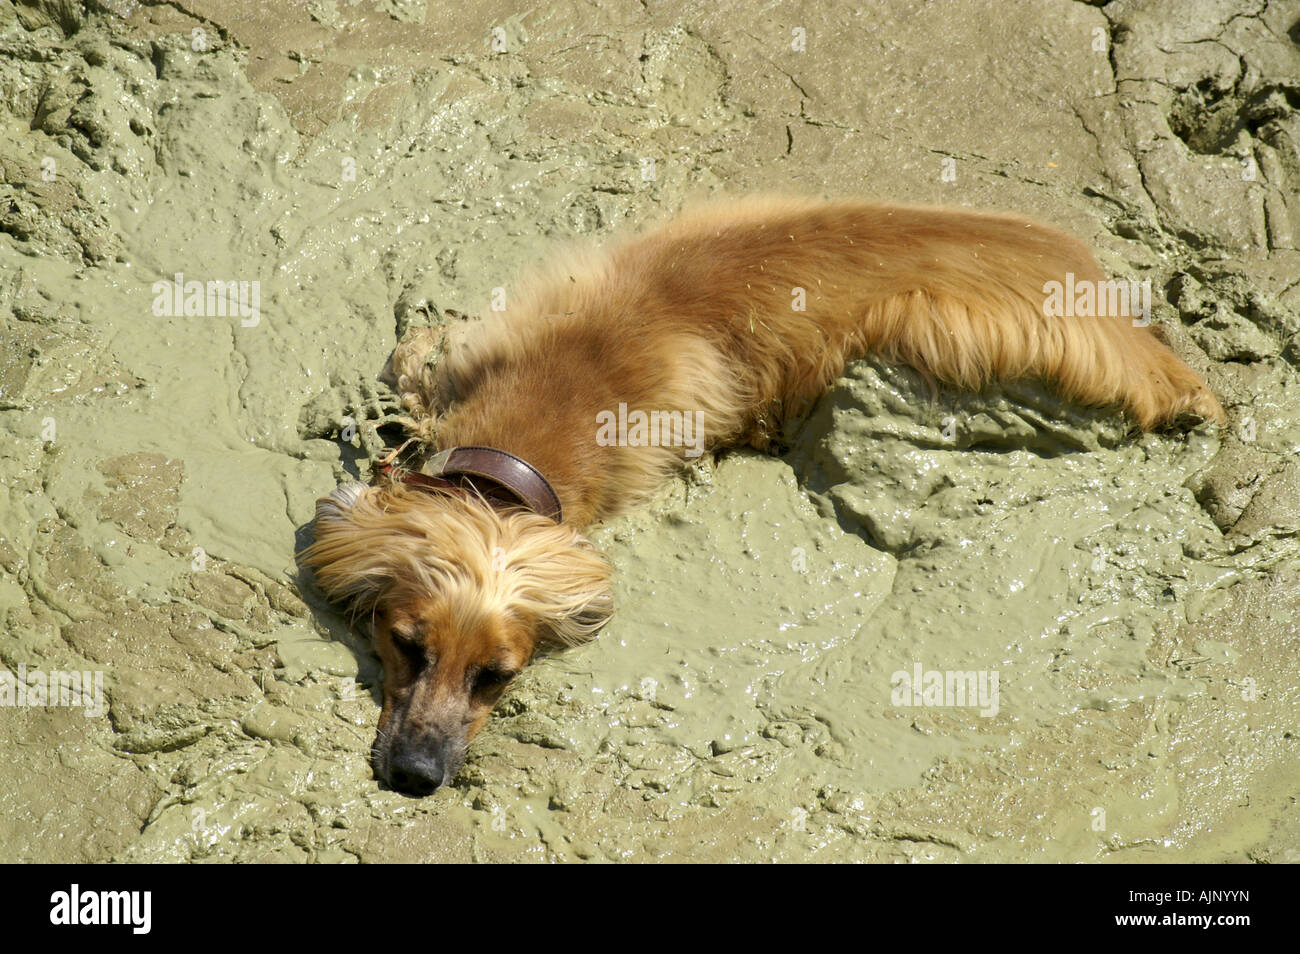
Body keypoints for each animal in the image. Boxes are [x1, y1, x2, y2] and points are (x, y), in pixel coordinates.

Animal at [299, 197, 1222, 795]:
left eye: (499, 676)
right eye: (405, 645)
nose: (416, 778)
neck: (560, 391)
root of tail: (1152, 351)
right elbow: (412, 358)